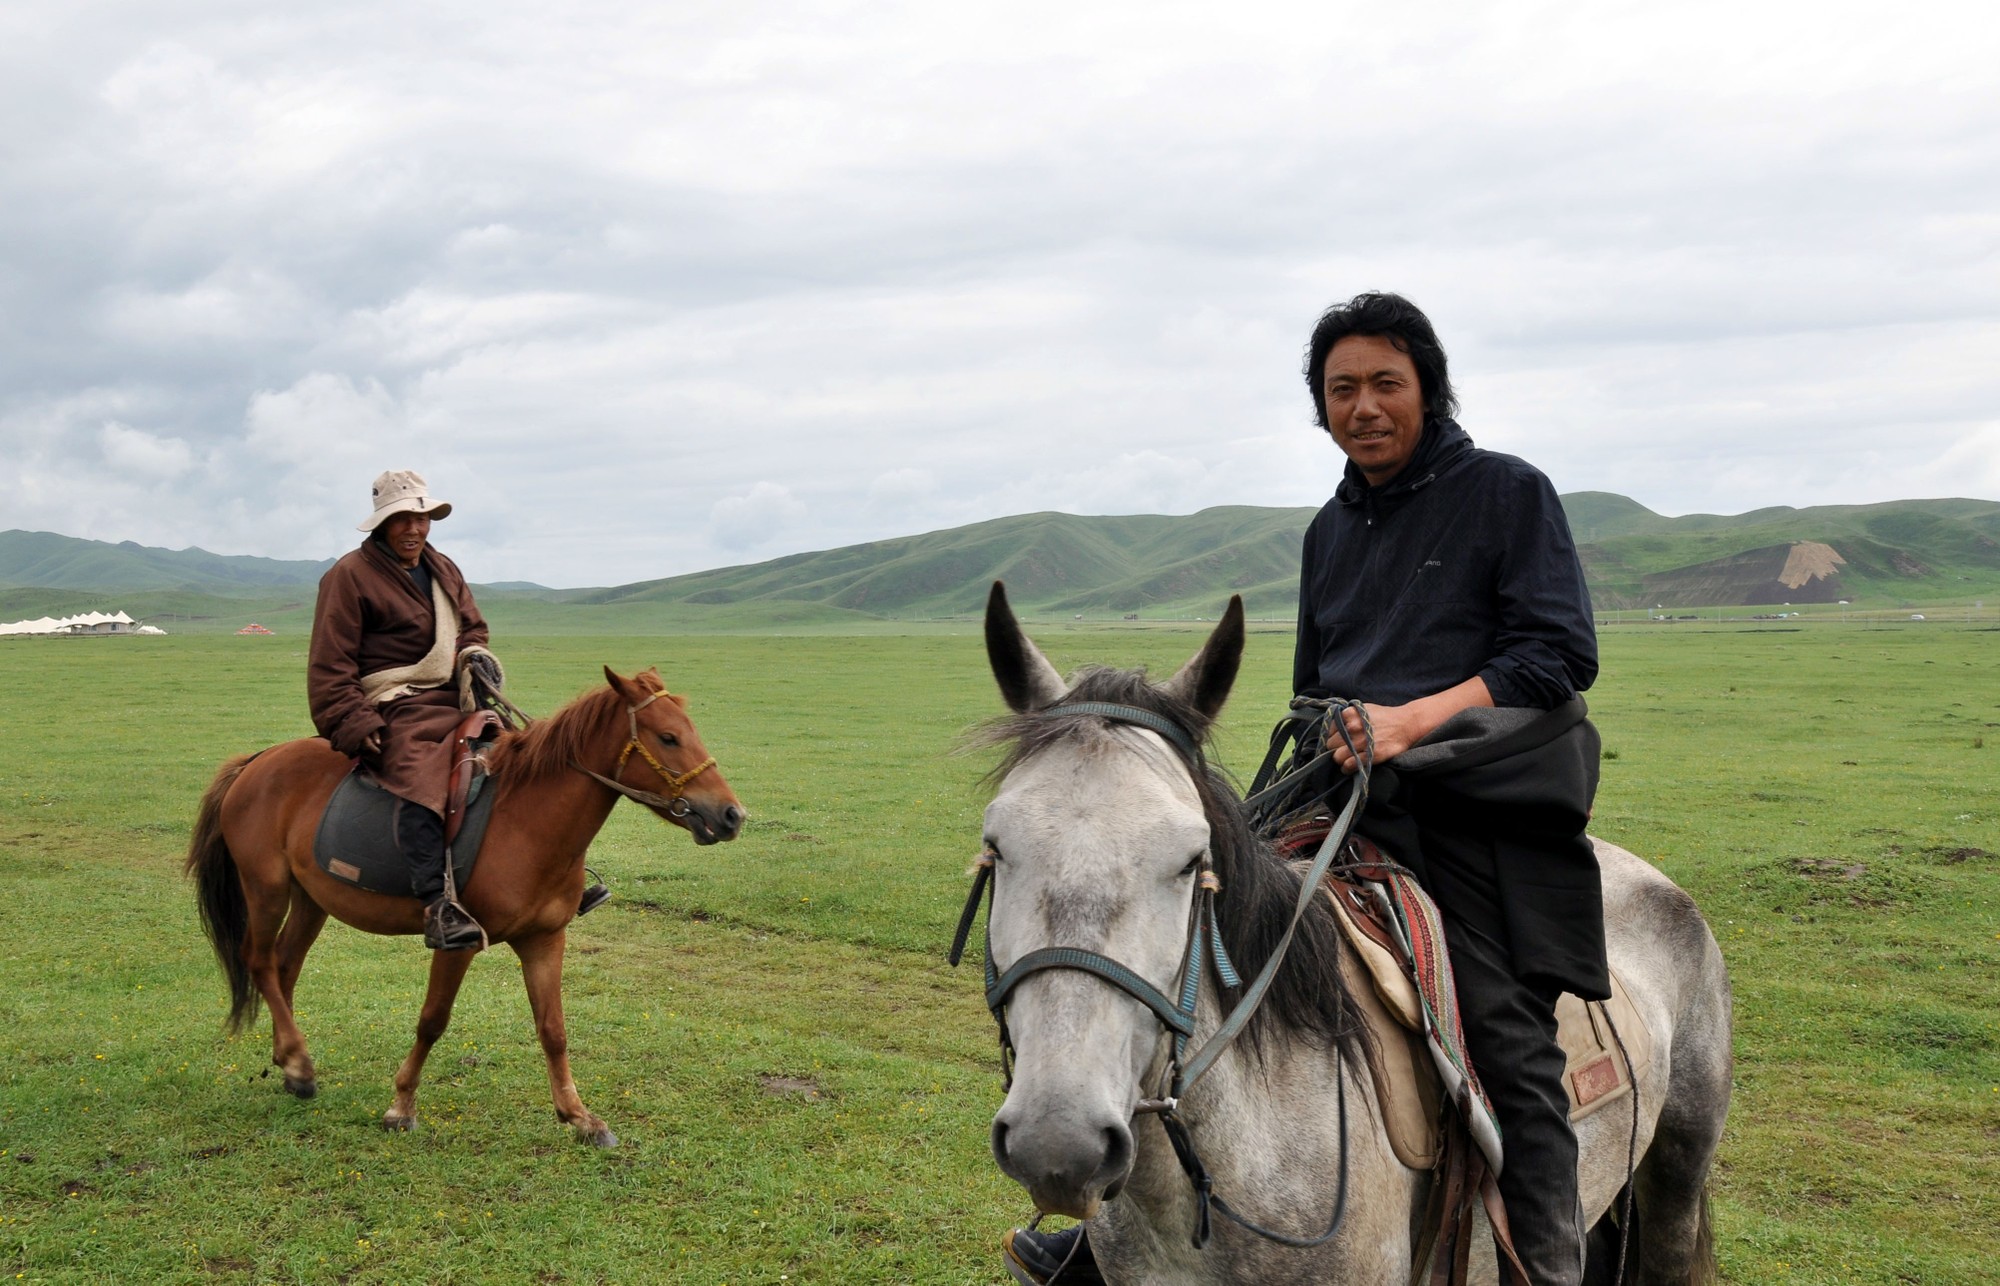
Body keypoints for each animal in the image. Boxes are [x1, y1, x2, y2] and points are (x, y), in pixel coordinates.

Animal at [184, 668, 748, 1144]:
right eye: (668, 737)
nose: (732, 814)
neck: (528, 820)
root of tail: (256, 761)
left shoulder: (544, 939)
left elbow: (554, 1030)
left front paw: (580, 1117)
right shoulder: (457, 943)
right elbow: (433, 1020)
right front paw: (401, 1107)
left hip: (310, 899)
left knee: (283, 966)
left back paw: (288, 1060)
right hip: (266, 888)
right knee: (259, 961)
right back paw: (299, 1065)